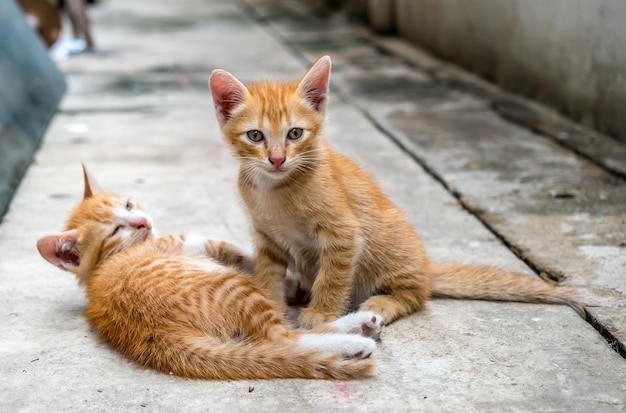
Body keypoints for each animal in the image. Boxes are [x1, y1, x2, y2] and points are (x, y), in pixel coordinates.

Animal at [37, 164, 386, 380]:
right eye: (115, 231)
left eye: (128, 205)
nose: (143, 222)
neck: (106, 263)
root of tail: (155, 334)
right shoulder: (194, 243)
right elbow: (238, 250)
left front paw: (295, 285)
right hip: (234, 285)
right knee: (284, 339)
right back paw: (355, 339)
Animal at [207, 54, 584, 326]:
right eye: (256, 136)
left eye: (295, 133)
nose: (277, 159)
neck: (273, 188)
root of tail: (426, 265)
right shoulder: (266, 235)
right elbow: (268, 271)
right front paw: (271, 302)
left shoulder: (344, 234)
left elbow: (333, 276)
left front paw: (322, 313)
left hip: (388, 249)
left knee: (416, 294)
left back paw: (380, 305)